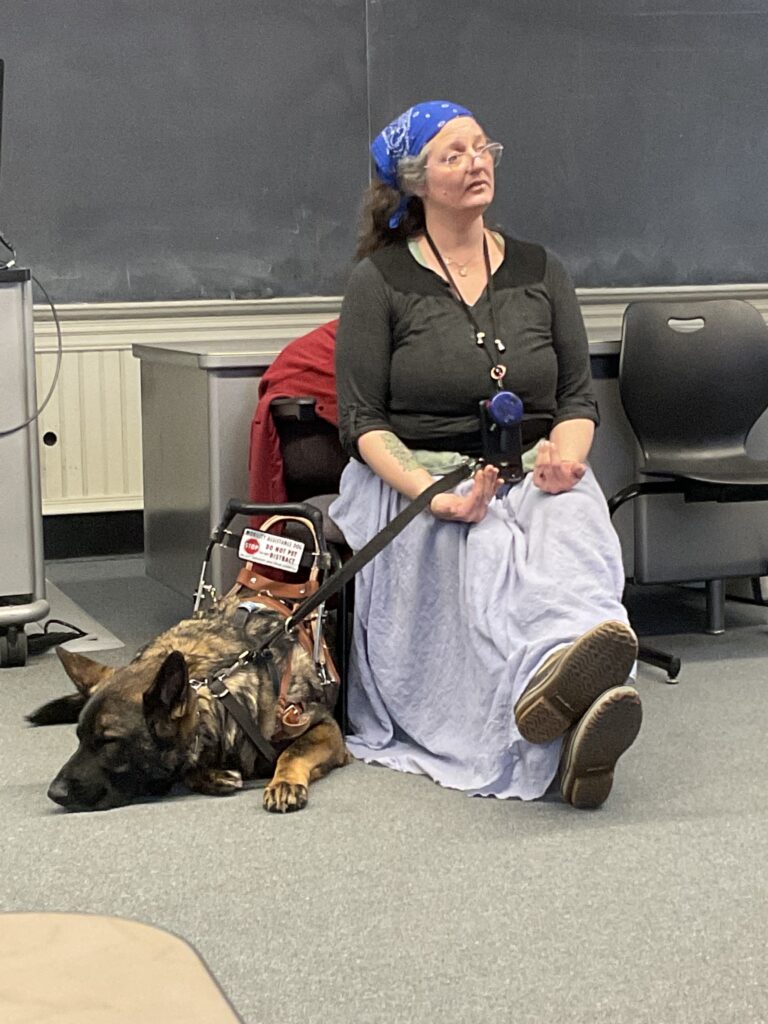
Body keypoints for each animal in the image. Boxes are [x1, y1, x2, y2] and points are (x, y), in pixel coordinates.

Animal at [27, 593, 352, 815]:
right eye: (79, 738)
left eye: (109, 742)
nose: (54, 793)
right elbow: (187, 767)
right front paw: (209, 776)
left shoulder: (326, 729)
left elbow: (293, 752)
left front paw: (283, 782)